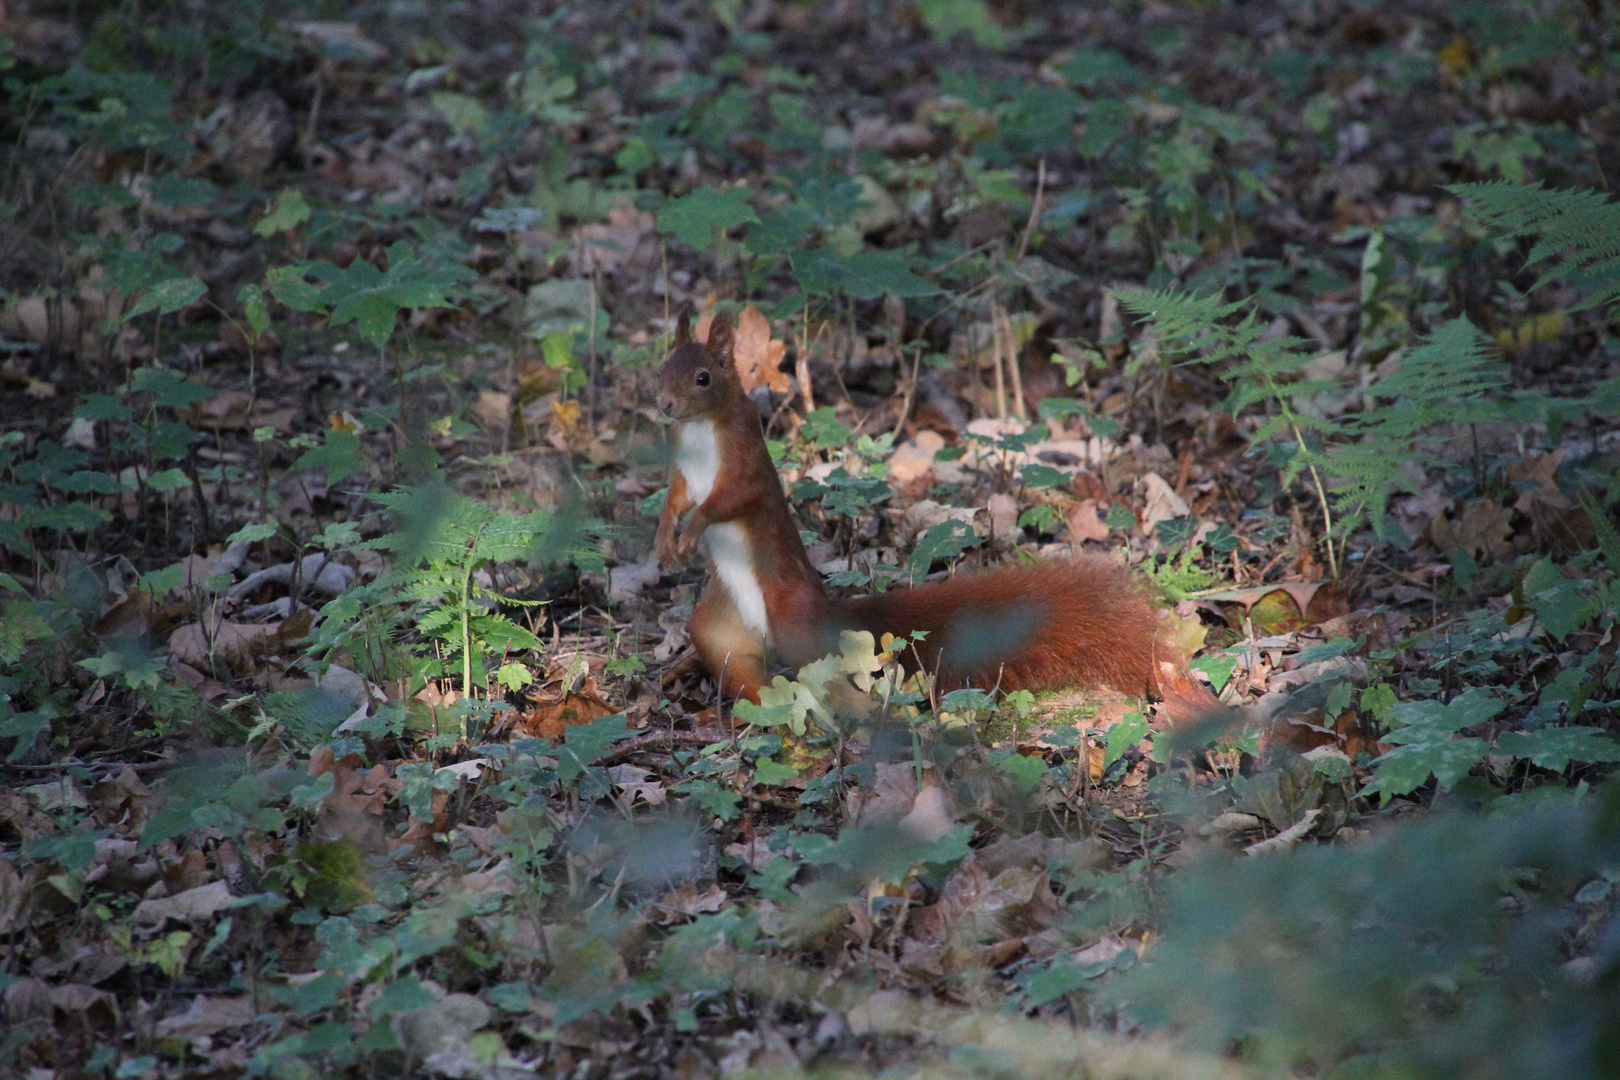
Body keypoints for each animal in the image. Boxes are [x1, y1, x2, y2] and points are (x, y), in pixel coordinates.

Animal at [654, 310, 1218, 718]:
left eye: (702, 377)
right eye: (661, 368)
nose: (663, 405)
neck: (701, 433)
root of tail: (823, 616)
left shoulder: (745, 464)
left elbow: (727, 501)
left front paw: (691, 531)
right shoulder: (681, 467)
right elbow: (675, 496)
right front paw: (665, 537)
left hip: (795, 629)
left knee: (831, 683)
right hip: (718, 627)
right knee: (750, 677)